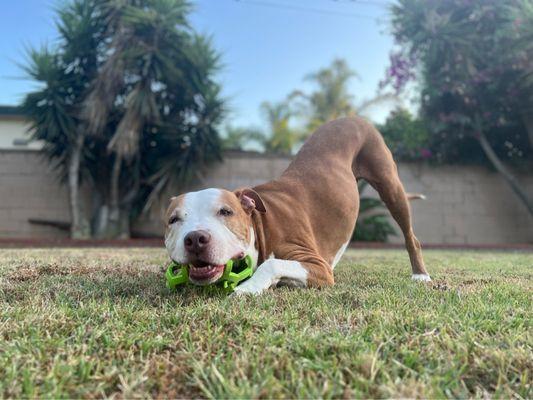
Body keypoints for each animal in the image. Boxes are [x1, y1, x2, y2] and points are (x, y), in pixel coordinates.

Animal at [164, 115, 430, 294]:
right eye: (173, 220)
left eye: (225, 212)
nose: (195, 238)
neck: (262, 227)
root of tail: (353, 117)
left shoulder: (317, 265)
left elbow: (271, 264)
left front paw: (247, 289)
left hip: (390, 185)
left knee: (411, 237)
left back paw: (420, 275)